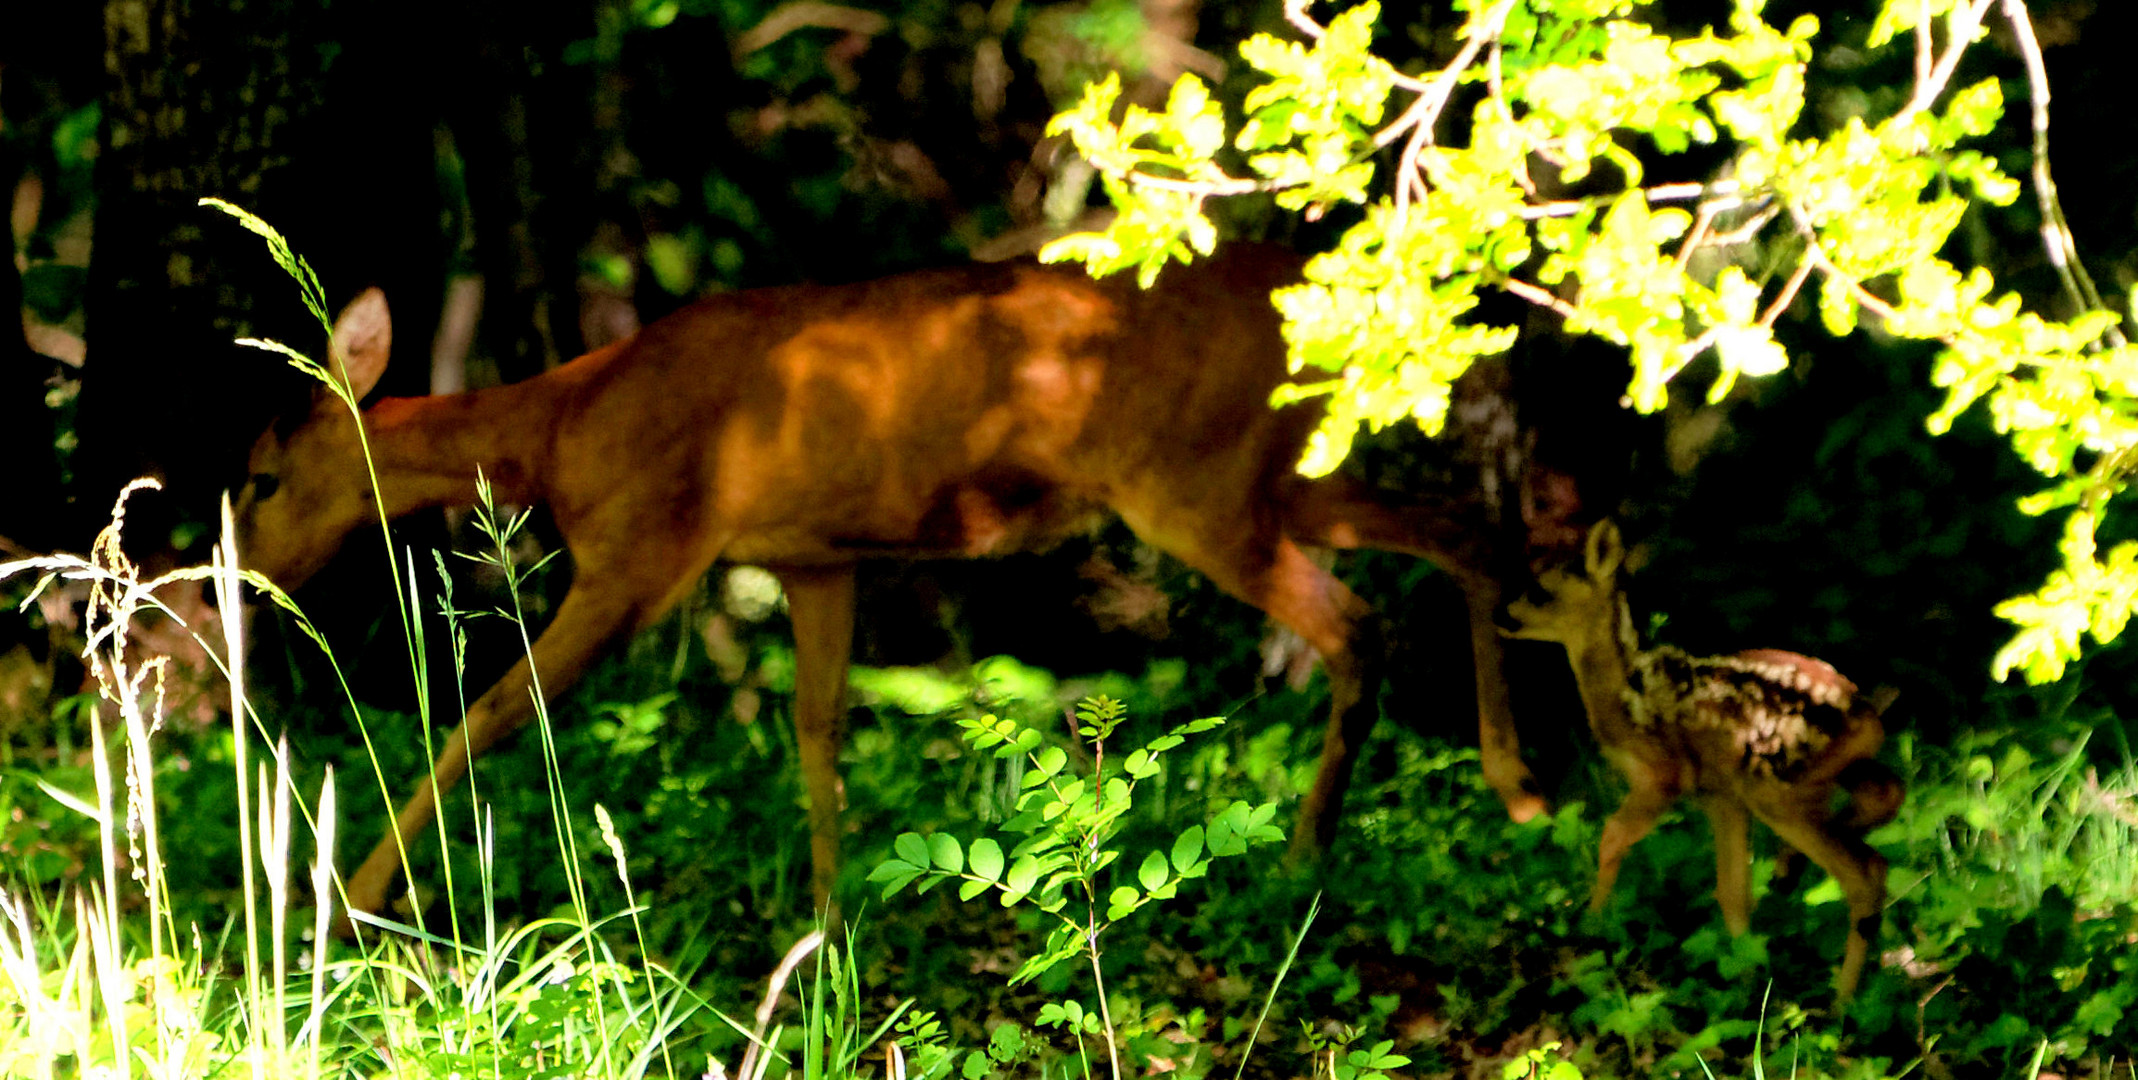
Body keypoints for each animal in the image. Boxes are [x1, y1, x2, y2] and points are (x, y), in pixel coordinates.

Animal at [234, 241, 1547, 919]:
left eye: (258, 475)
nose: (237, 581)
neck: (558, 432)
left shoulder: (640, 551)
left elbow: (493, 713)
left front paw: (348, 897)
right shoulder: (816, 556)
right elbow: (817, 728)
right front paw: (828, 920)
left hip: (1194, 484)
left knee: (1357, 624)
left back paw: (1302, 858)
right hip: (1272, 466)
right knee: (1465, 530)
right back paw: (1516, 789)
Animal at [1505, 517, 1907, 996]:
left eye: (1540, 590)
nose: (1502, 616)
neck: (1620, 695)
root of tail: (1864, 712)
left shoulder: (1664, 773)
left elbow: (1612, 835)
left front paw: (1594, 921)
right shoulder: (1721, 797)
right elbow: (1732, 893)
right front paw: (1747, 974)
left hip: (1776, 787)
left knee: (1865, 871)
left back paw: (1842, 999)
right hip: (1831, 772)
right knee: (1887, 796)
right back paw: (1788, 874)